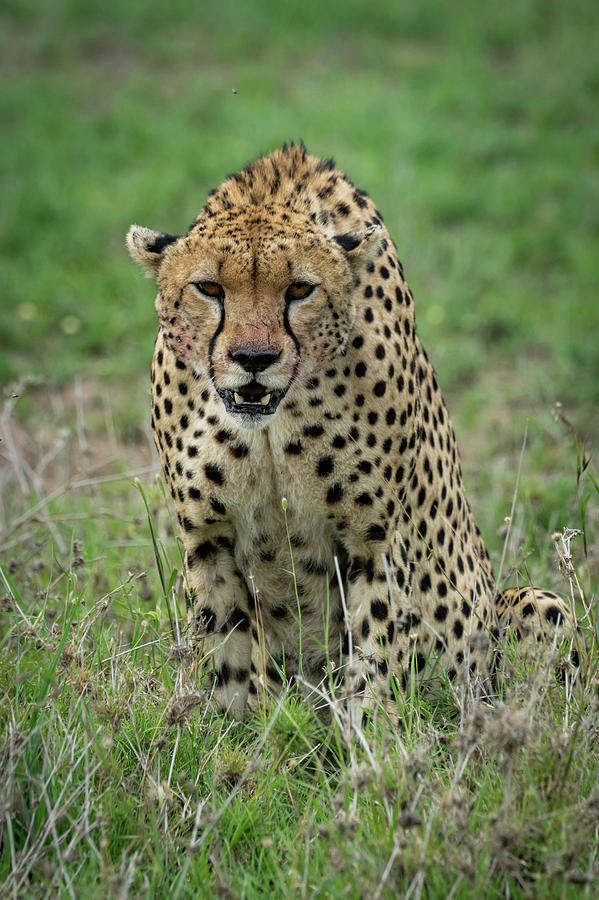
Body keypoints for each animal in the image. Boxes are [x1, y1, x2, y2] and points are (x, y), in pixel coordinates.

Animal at [126, 142, 576, 716]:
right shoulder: (208, 537)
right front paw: (233, 733)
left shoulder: (376, 541)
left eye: (300, 289)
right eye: (209, 288)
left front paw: (369, 733)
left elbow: (375, 660)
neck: (271, 424)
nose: (254, 359)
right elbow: (227, 661)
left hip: (535, 606)